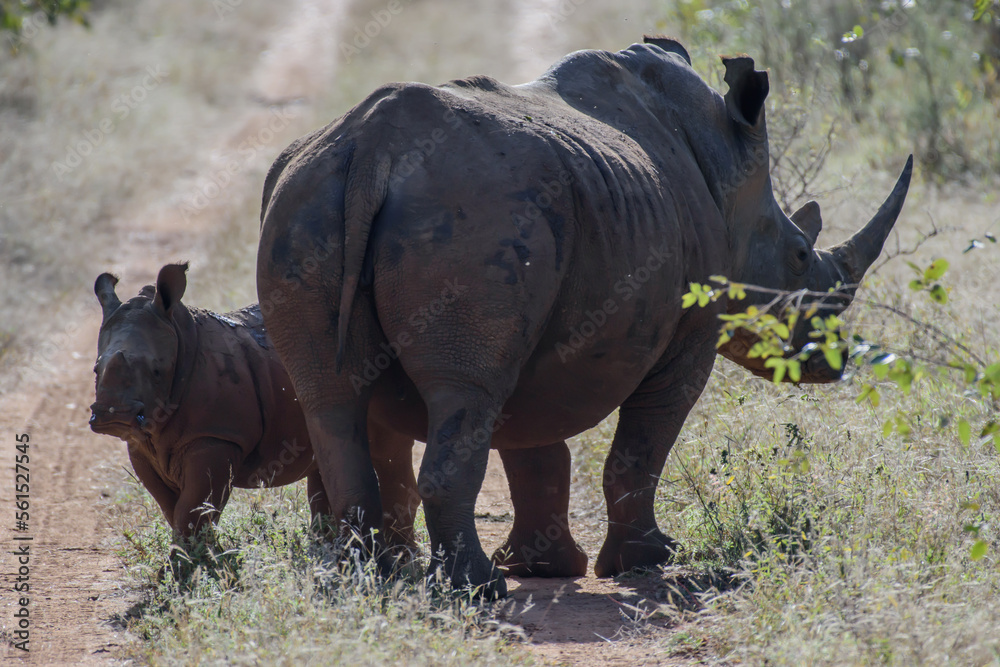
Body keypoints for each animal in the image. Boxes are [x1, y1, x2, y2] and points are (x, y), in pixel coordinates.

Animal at [89, 263, 418, 548]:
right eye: (95, 370)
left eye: (157, 371)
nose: (111, 415)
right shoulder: (141, 445)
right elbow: (171, 508)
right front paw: (198, 561)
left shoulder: (216, 436)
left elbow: (193, 509)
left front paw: (195, 566)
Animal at [255, 37, 911, 597]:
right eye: (799, 256)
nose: (832, 361)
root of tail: (375, 148)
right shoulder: (689, 333)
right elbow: (640, 447)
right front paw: (645, 561)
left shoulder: (545, 322)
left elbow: (533, 443)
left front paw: (545, 568)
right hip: (475, 212)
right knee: (465, 390)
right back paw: (475, 589)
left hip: (307, 198)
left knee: (333, 392)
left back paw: (370, 578)